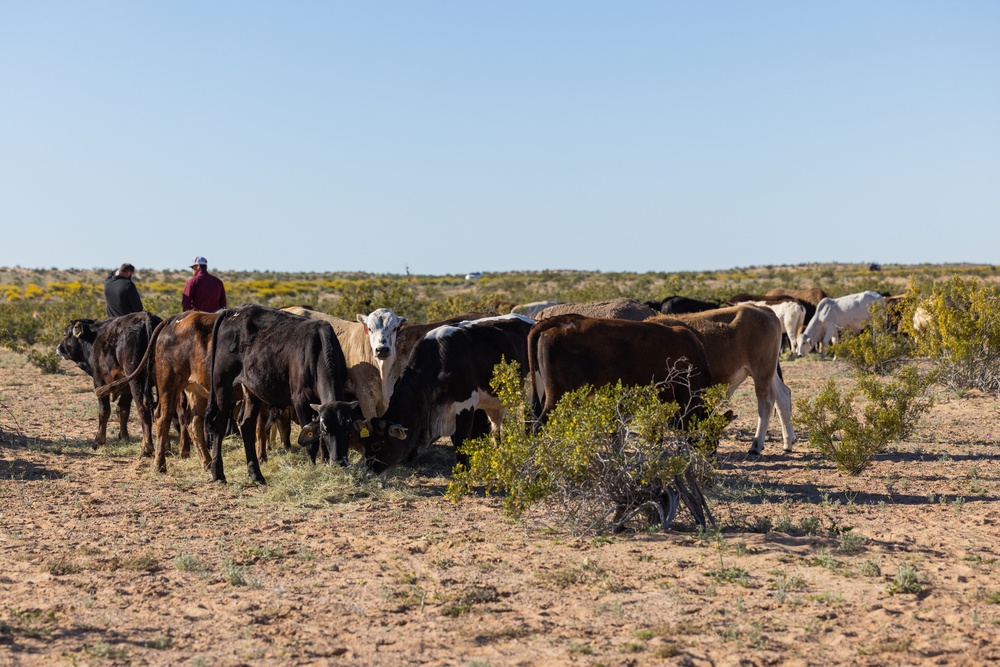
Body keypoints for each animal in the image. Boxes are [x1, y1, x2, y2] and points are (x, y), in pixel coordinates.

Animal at [56, 314, 160, 454]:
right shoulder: (126, 387)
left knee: (143, 408)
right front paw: (124, 437)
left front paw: (98, 441)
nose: (58, 348)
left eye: (65, 334)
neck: (93, 339)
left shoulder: (99, 382)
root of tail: (147, 318)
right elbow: (122, 410)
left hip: (136, 380)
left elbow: (104, 411)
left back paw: (147, 448)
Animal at [203, 304, 360, 486]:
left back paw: (256, 474)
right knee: (219, 424)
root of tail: (233, 311)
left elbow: (319, 441)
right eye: (326, 429)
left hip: (251, 389)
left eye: (348, 428)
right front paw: (313, 468)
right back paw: (218, 473)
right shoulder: (300, 401)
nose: (340, 460)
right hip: (222, 384)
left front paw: (325, 462)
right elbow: (311, 442)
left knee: (246, 423)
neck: (318, 351)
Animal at [360, 314, 532, 474]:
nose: (370, 468)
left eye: (376, 445)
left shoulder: (465, 405)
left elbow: (461, 442)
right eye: (366, 443)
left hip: (529, 393)